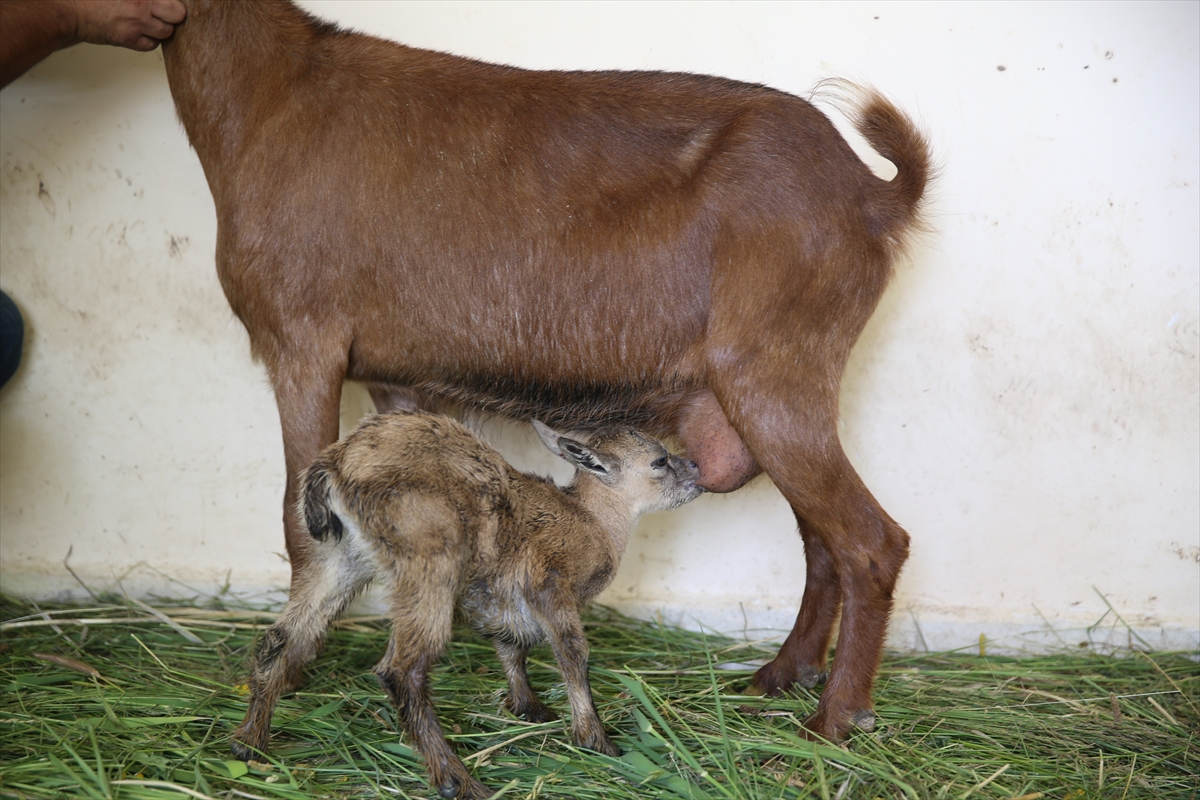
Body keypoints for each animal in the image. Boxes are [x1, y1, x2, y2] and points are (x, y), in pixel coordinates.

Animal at [162, 0, 926, 743]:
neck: (276, 95)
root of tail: (872, 194)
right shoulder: (398, 378)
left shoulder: (302, 343)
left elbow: (301, 525)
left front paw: (290, 675)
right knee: (822, 541)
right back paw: (782, 675)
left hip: (774, 377)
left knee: (870, 542)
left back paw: (835, 718)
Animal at [234, 412, 700, 800]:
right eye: (660, 461)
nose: (696, 469)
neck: (592, 520)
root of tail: (333, 466)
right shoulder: (548, 580)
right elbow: (572, 652)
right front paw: (596, 740)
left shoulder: (496, 597)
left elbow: (511, 645)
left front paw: (528, 707)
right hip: (429, 557)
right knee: (401, 670)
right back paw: (457, 780)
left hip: (342, 559)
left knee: (281, 638)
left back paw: (249, 743)